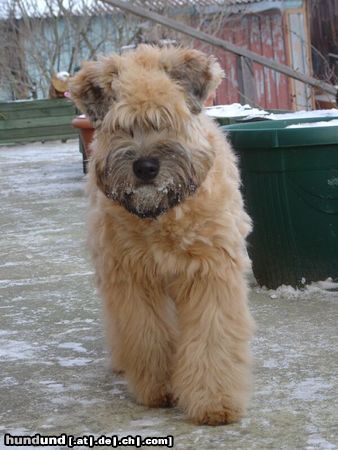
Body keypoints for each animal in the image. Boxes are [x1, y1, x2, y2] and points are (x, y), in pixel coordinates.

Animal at [69, 45, 254, 426]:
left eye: (167, 119)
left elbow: (212, 338)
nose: (145, 167)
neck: (160, 217)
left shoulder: (210, 271)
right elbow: (147, 335)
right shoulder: (134, 277)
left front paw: (214, 401)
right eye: (121, 126)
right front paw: (160, 388)